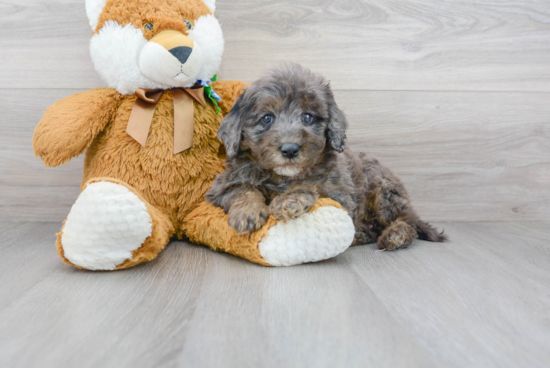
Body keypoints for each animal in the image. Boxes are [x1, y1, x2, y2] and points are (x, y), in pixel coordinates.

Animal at [208, 64, 448, 252]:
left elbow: (311, 185)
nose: (290, 149)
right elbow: (242, 190)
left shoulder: (340, 194)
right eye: (267, 118)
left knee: (407, 223)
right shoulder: (221, 187)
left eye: (307, 117)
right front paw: (247, 213)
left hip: (384, 192)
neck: (281, 177)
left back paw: (395, 235)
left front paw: (289, 200)